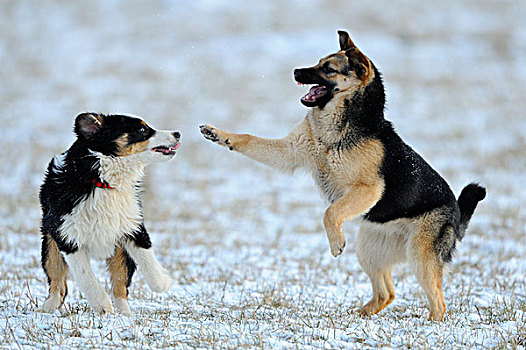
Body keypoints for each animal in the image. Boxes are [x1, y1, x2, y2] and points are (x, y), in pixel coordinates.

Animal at [38, 112, 179, 314]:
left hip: (119, 252)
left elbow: (148, 261)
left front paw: (164, 282)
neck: (102, 181)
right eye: (142, 128)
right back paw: (49, 306)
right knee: (57, 279)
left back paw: (125, 315)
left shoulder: (132, 226)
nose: (177, 134)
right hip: (49, 243)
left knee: (120, 284)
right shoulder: (66, 235)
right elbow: (86, 277)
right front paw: (103, 306)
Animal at [201, 31, 486, 322]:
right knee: (386, 293)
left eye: (328, 69)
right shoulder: (291, 151)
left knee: (438, 302)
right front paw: (217, 134)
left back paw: (429, 325)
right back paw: (359, 315)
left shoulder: (368, 189)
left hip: (420, 255)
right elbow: (248, 139)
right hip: (370, 250)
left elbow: (330, 212)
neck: (337, 128)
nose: (295, 71)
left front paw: (336, 243)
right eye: (318, 62)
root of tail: (457, 214)